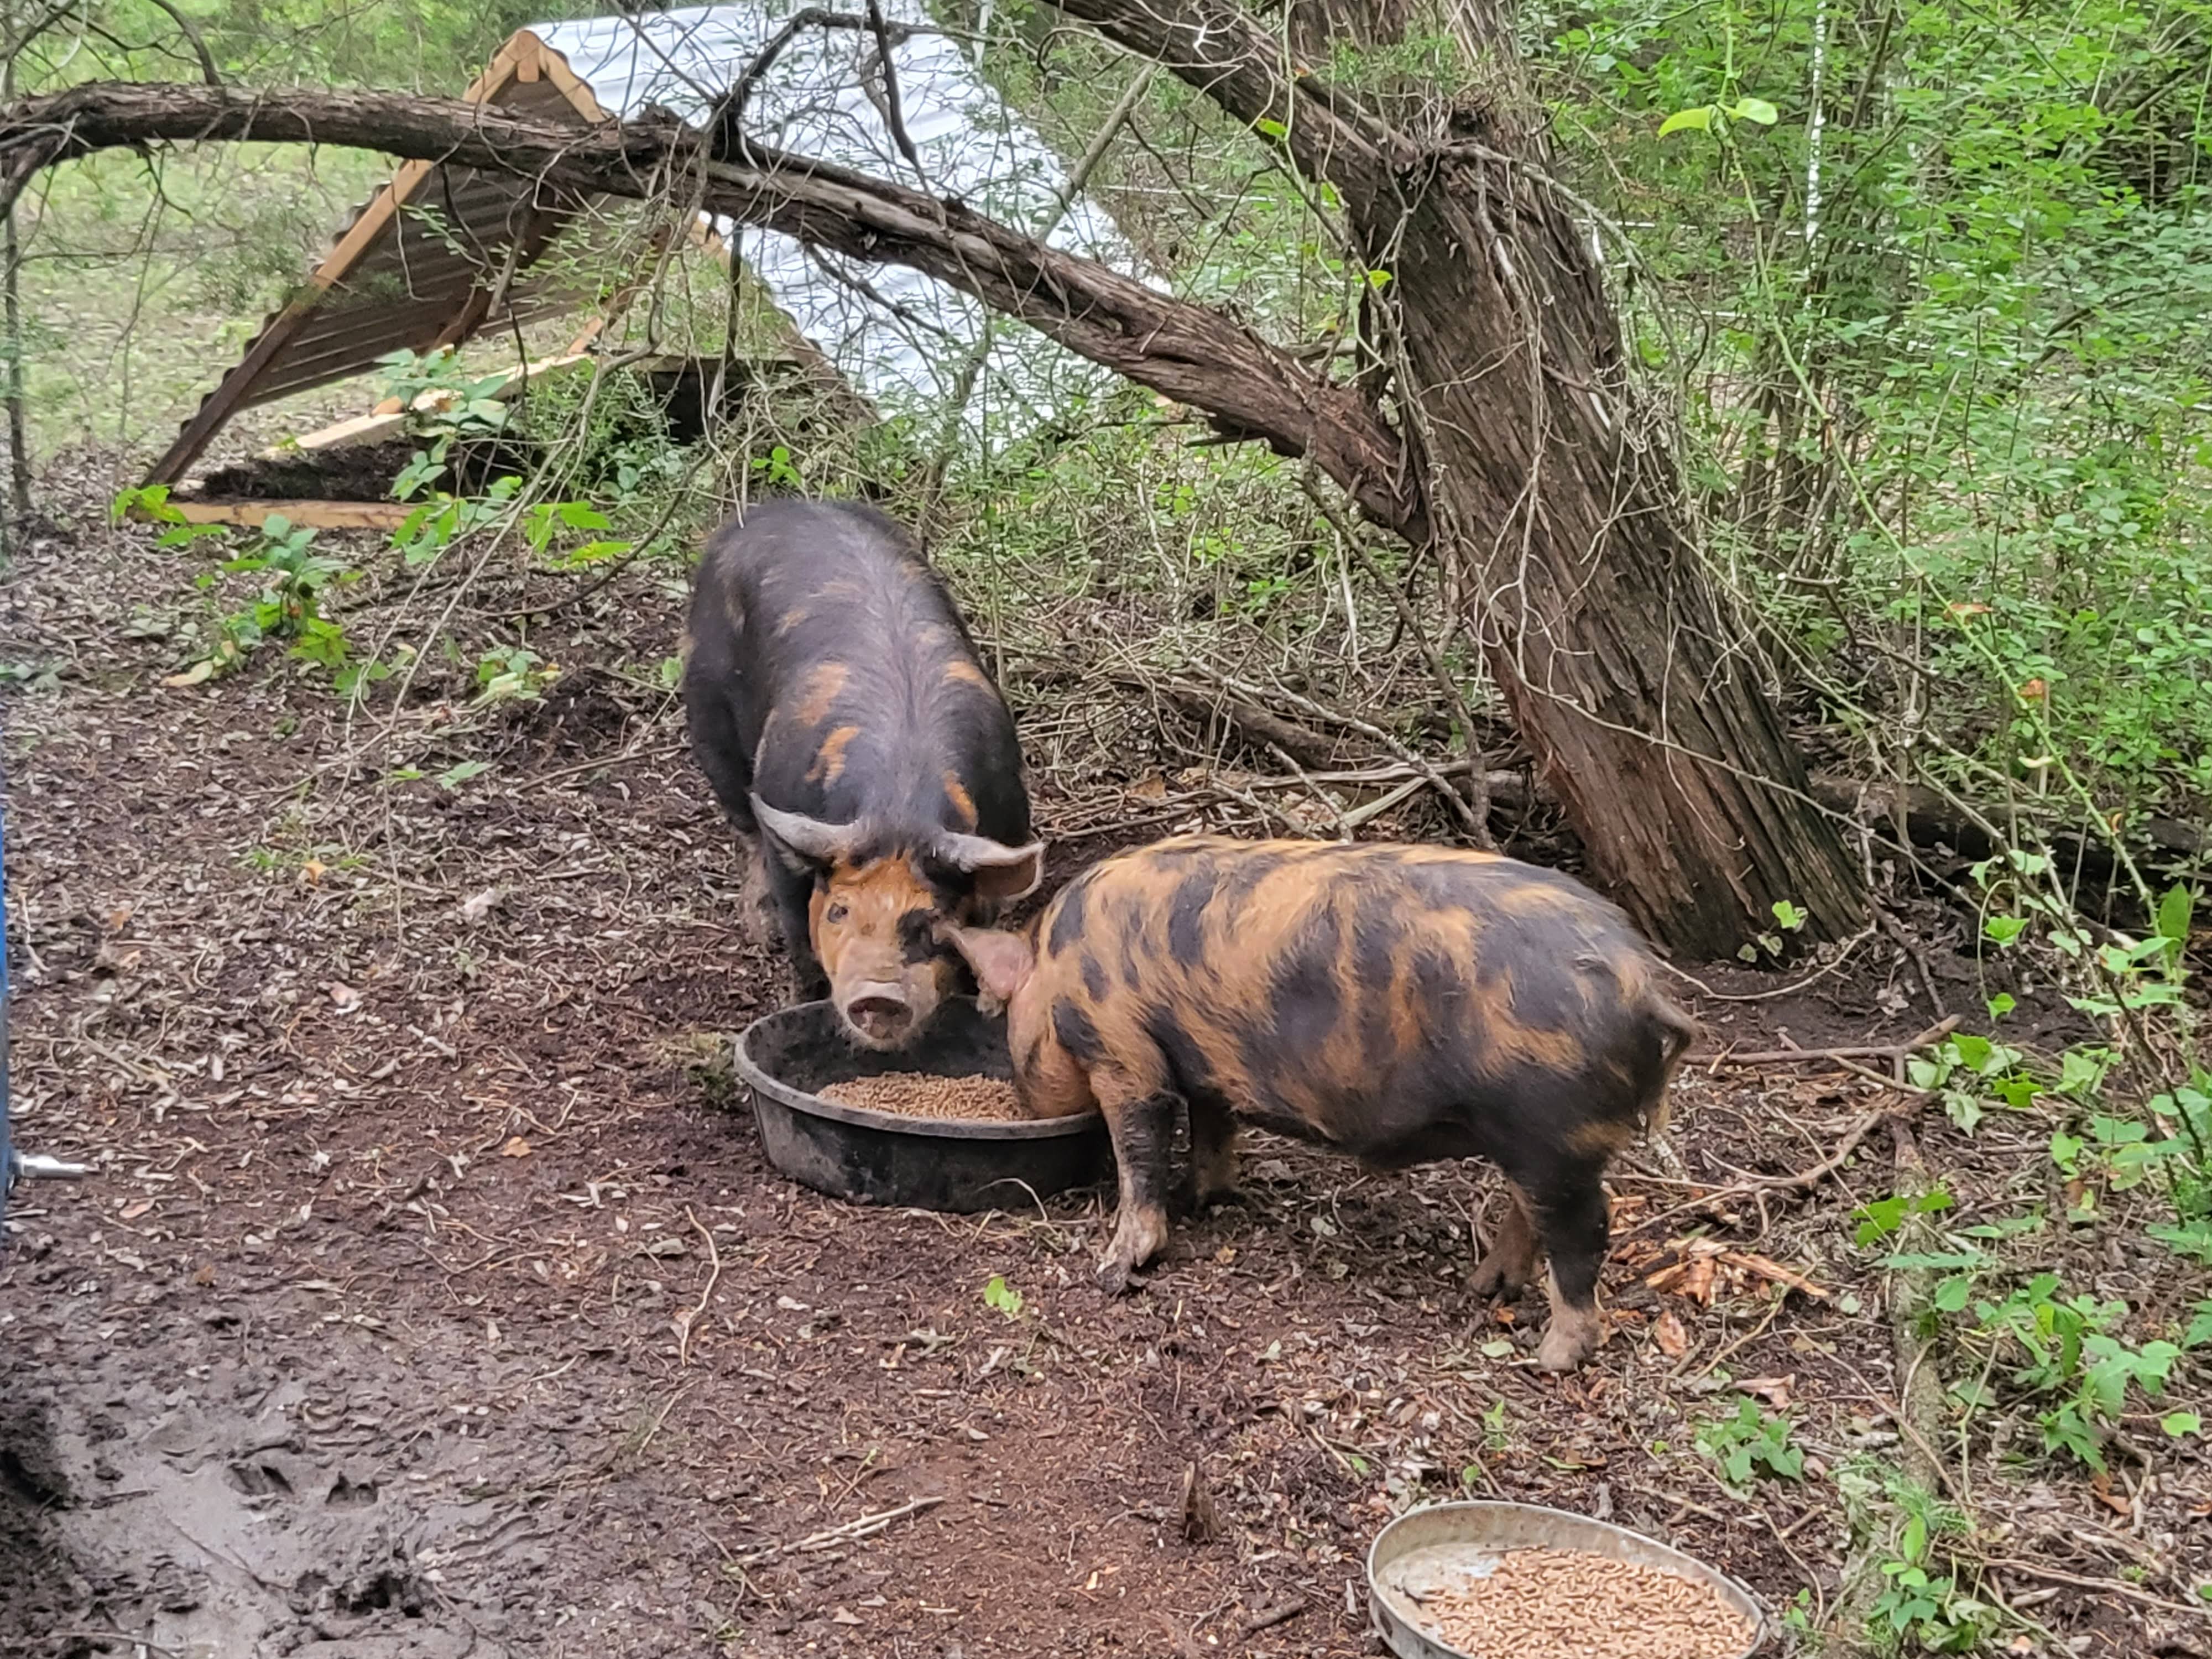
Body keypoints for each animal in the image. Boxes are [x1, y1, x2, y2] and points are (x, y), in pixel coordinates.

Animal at [683, 500, 1043, 1048]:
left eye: (929, 921)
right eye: (840, 911)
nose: (879, 995)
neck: (900, 806)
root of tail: (779, 507)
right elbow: (800, 937)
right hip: (706, 709)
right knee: (742, 824)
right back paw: (760, 928)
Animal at [940, 836, 1699, 1371]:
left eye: (1005, 1025)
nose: (1022, 1104)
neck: (1058, 971)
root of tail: (1640, 981)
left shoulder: (1125, 1052)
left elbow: (1140, 1151)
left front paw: (1116, 1266)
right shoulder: (1207, 1068)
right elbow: (1214, 1132)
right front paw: (1203, 1199)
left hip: (1555, 1130)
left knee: (1585, 1231)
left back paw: (1552, 1357)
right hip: (1530, 1140)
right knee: (1530, 1213)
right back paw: (1484, 1288)